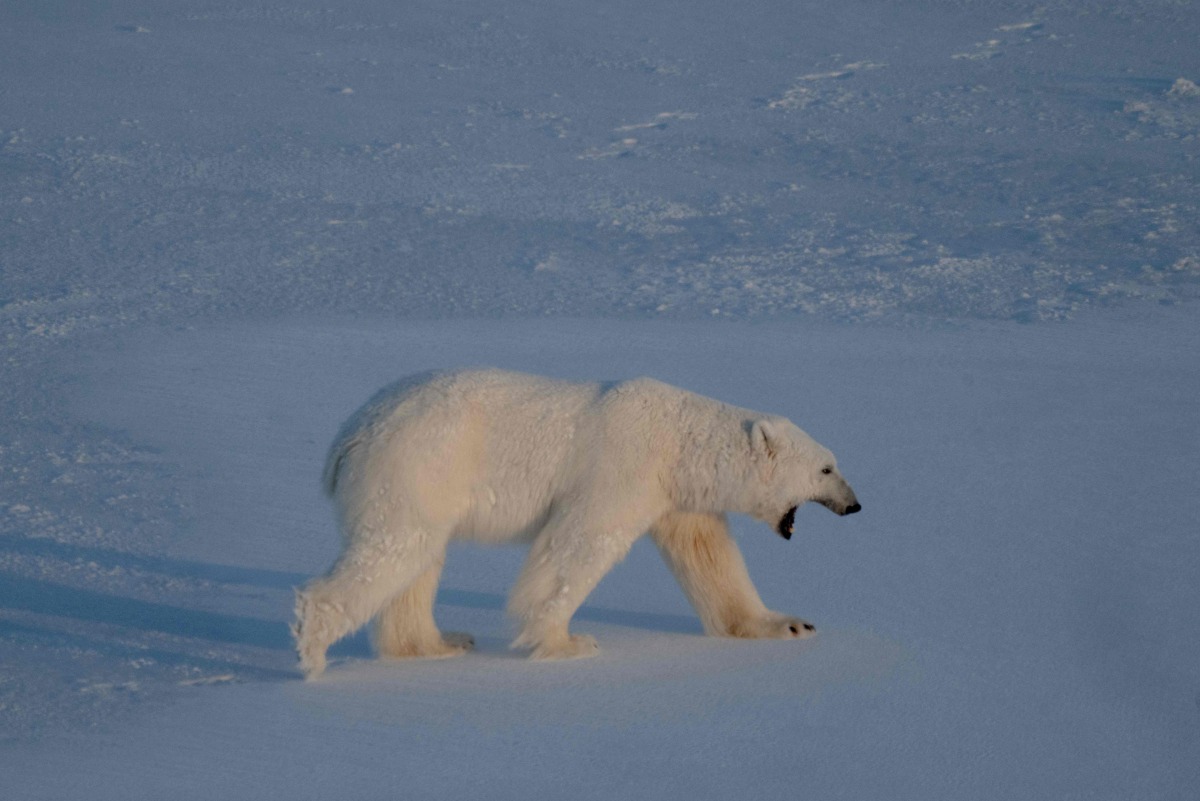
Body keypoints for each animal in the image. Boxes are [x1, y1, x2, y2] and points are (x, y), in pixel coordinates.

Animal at [293, 368, 860, 678]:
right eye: (826, 469)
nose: (855, 505)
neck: (679, 440)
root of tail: (349, 433)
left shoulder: (678, 496)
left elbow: (709, 556)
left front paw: (790, 625)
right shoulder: (624, 466)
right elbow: (580, 542)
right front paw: (566, 642)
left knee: (418, 560)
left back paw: (438, 643)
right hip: (419, 464)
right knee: (394, 548)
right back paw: (313, 648)